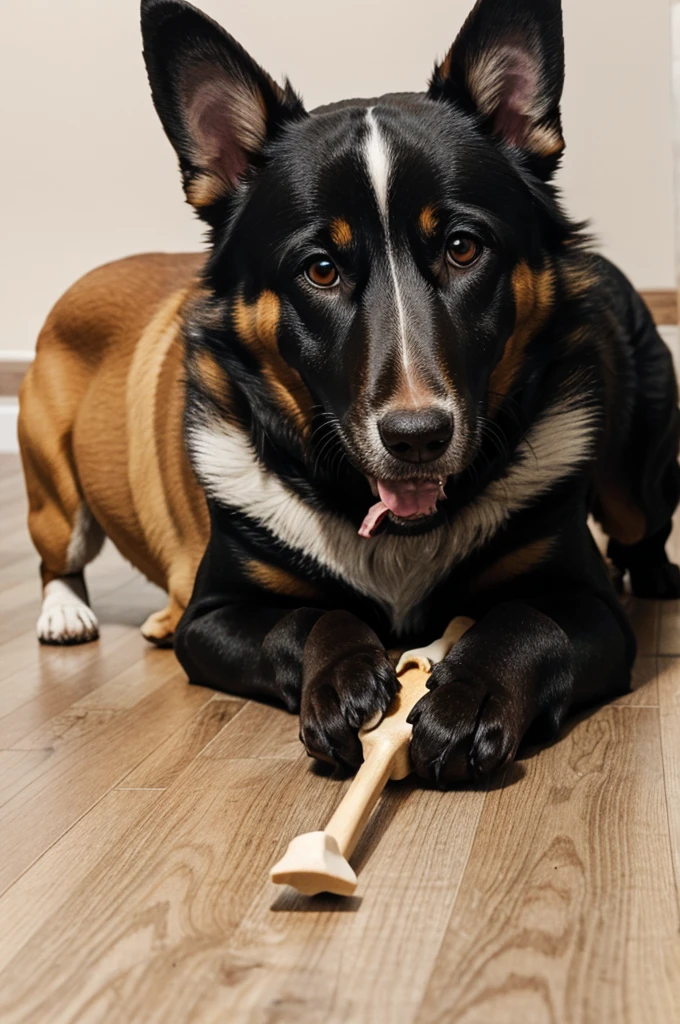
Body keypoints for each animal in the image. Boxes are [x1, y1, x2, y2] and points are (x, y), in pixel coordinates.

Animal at [17, 0, 680, 782]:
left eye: (462, 247)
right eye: (321, 269)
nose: (418, 439)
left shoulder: (589, 608)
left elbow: (528, 621)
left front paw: (472, 693)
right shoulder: (214, 617)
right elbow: (307, 618)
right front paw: (341, 676)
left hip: (639, 482)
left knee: (640, 523)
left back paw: (656, 573)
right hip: (55, 491)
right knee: (58, 556)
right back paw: (68, 613)